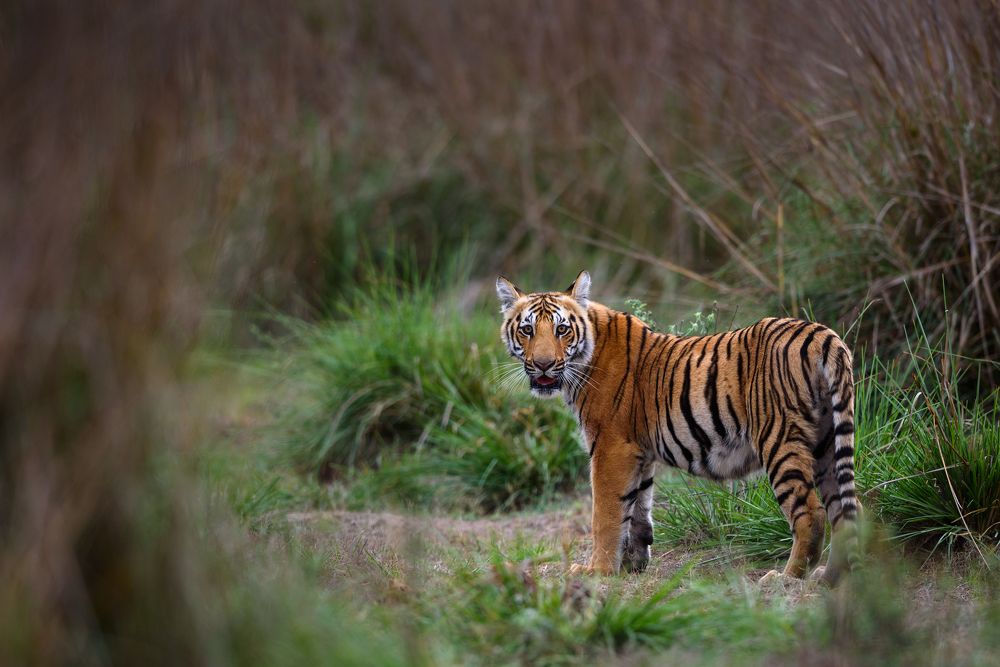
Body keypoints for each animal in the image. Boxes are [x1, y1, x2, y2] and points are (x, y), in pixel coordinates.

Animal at [495, 270, 861, 585]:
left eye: (562, 330)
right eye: (527, 330)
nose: (543, 364)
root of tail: (821, 334)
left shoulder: (610, 447)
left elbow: (606, 514)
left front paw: (596, 571)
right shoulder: (638, 451)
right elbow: (637, 509)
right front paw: (632, 564)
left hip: (780, 438)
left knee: (811, 513)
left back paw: (787, 578)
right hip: (828, 444)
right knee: (843, 511)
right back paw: (830, 577)